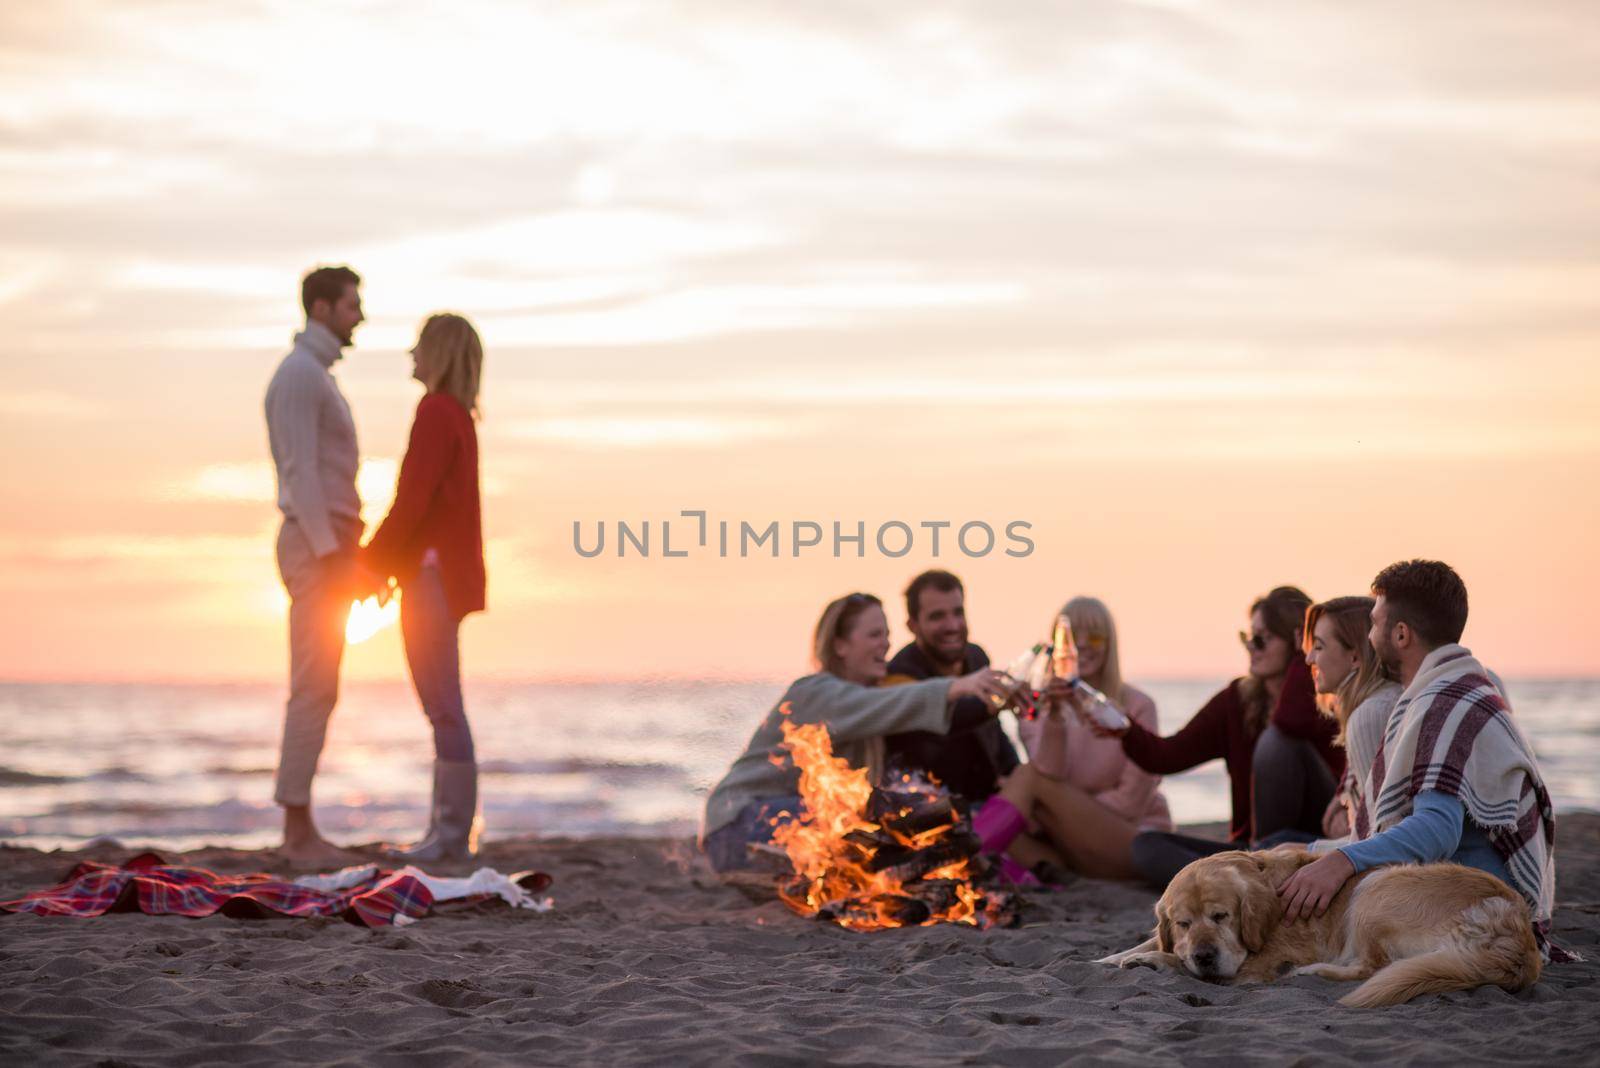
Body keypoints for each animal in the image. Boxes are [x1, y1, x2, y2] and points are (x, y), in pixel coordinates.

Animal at [1100, 844, 1536, 1004]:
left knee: (1373, 967)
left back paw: (1309, 971)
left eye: (1221, 916)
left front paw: (1153, 961)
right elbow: (1149, 941)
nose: (1205, 955)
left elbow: (1178, 962)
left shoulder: (1253, 964)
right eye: (1183, 923)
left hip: (1376, 889)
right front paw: (1108, 959)